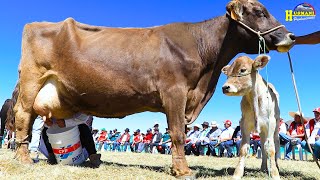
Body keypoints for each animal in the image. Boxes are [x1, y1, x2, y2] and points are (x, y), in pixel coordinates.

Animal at [15, 0, 296, 176]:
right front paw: (183, 171)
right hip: (31, 80)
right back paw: (24, 158)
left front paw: (177, 167)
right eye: (259, 11)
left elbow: (179, 132)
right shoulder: (175, 91)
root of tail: (35, 24)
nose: (291, 36)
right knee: (23, 117)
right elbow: (178, 133)